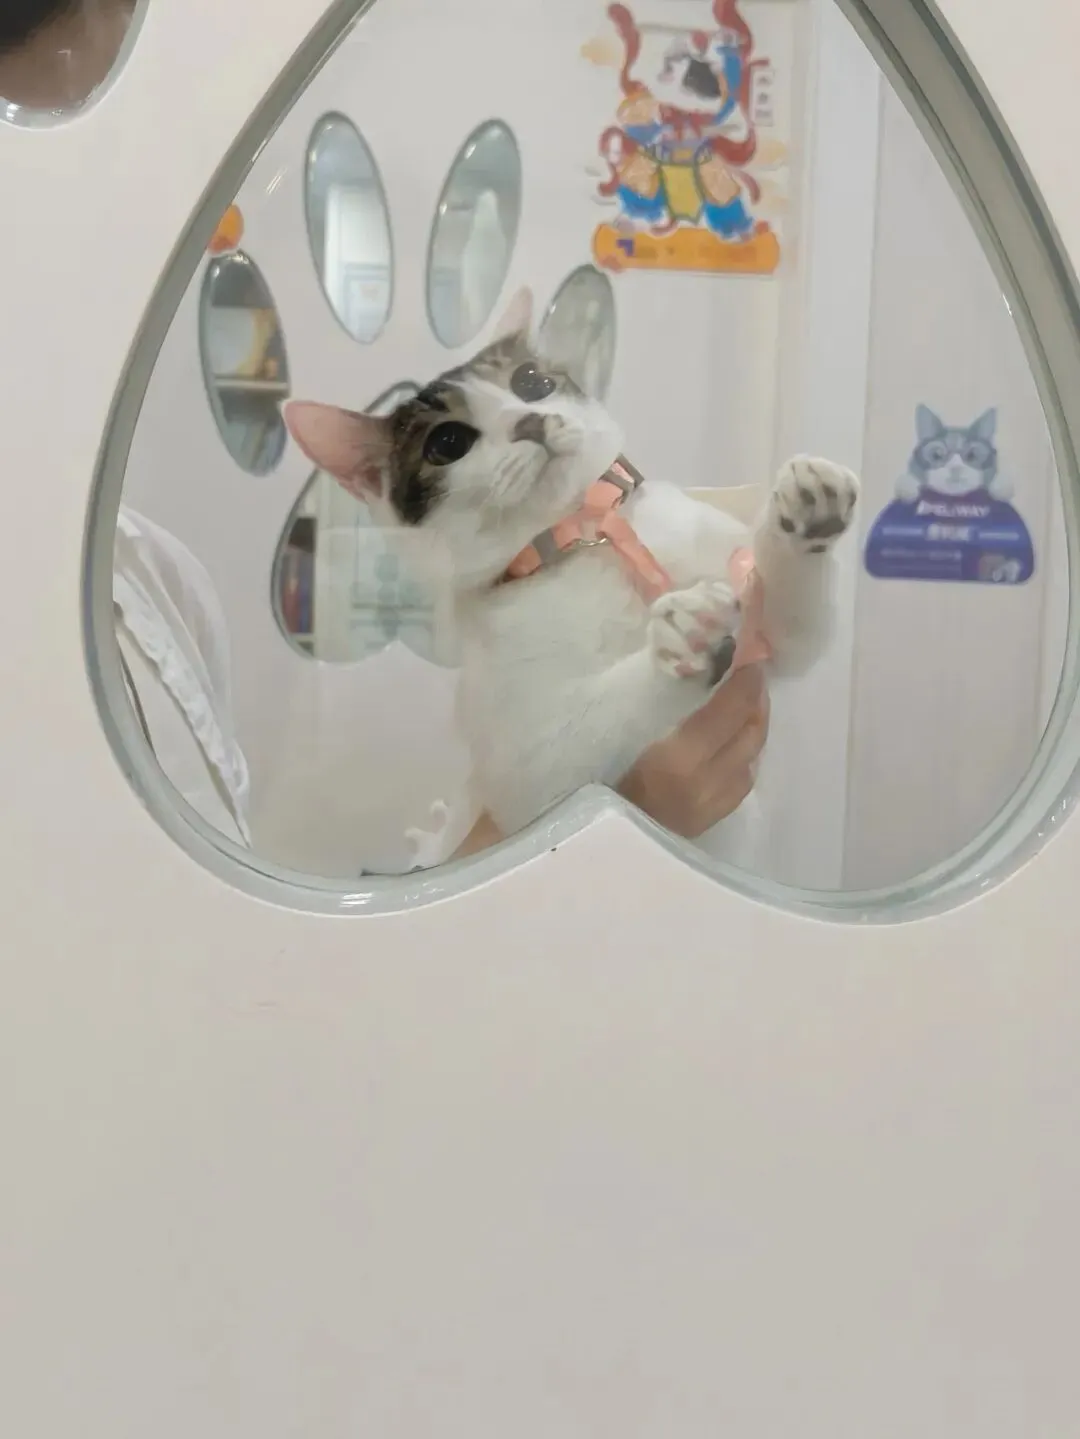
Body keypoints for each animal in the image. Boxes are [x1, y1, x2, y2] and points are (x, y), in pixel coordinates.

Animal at [284, 287, 859, 857]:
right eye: (448, 443)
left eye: (530, 383)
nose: (528, 421)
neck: (584, 537)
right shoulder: (527, 776)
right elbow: (589, 733)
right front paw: (683, 643)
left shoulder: (769, 644)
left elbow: (791, 625)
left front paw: (804, 514)